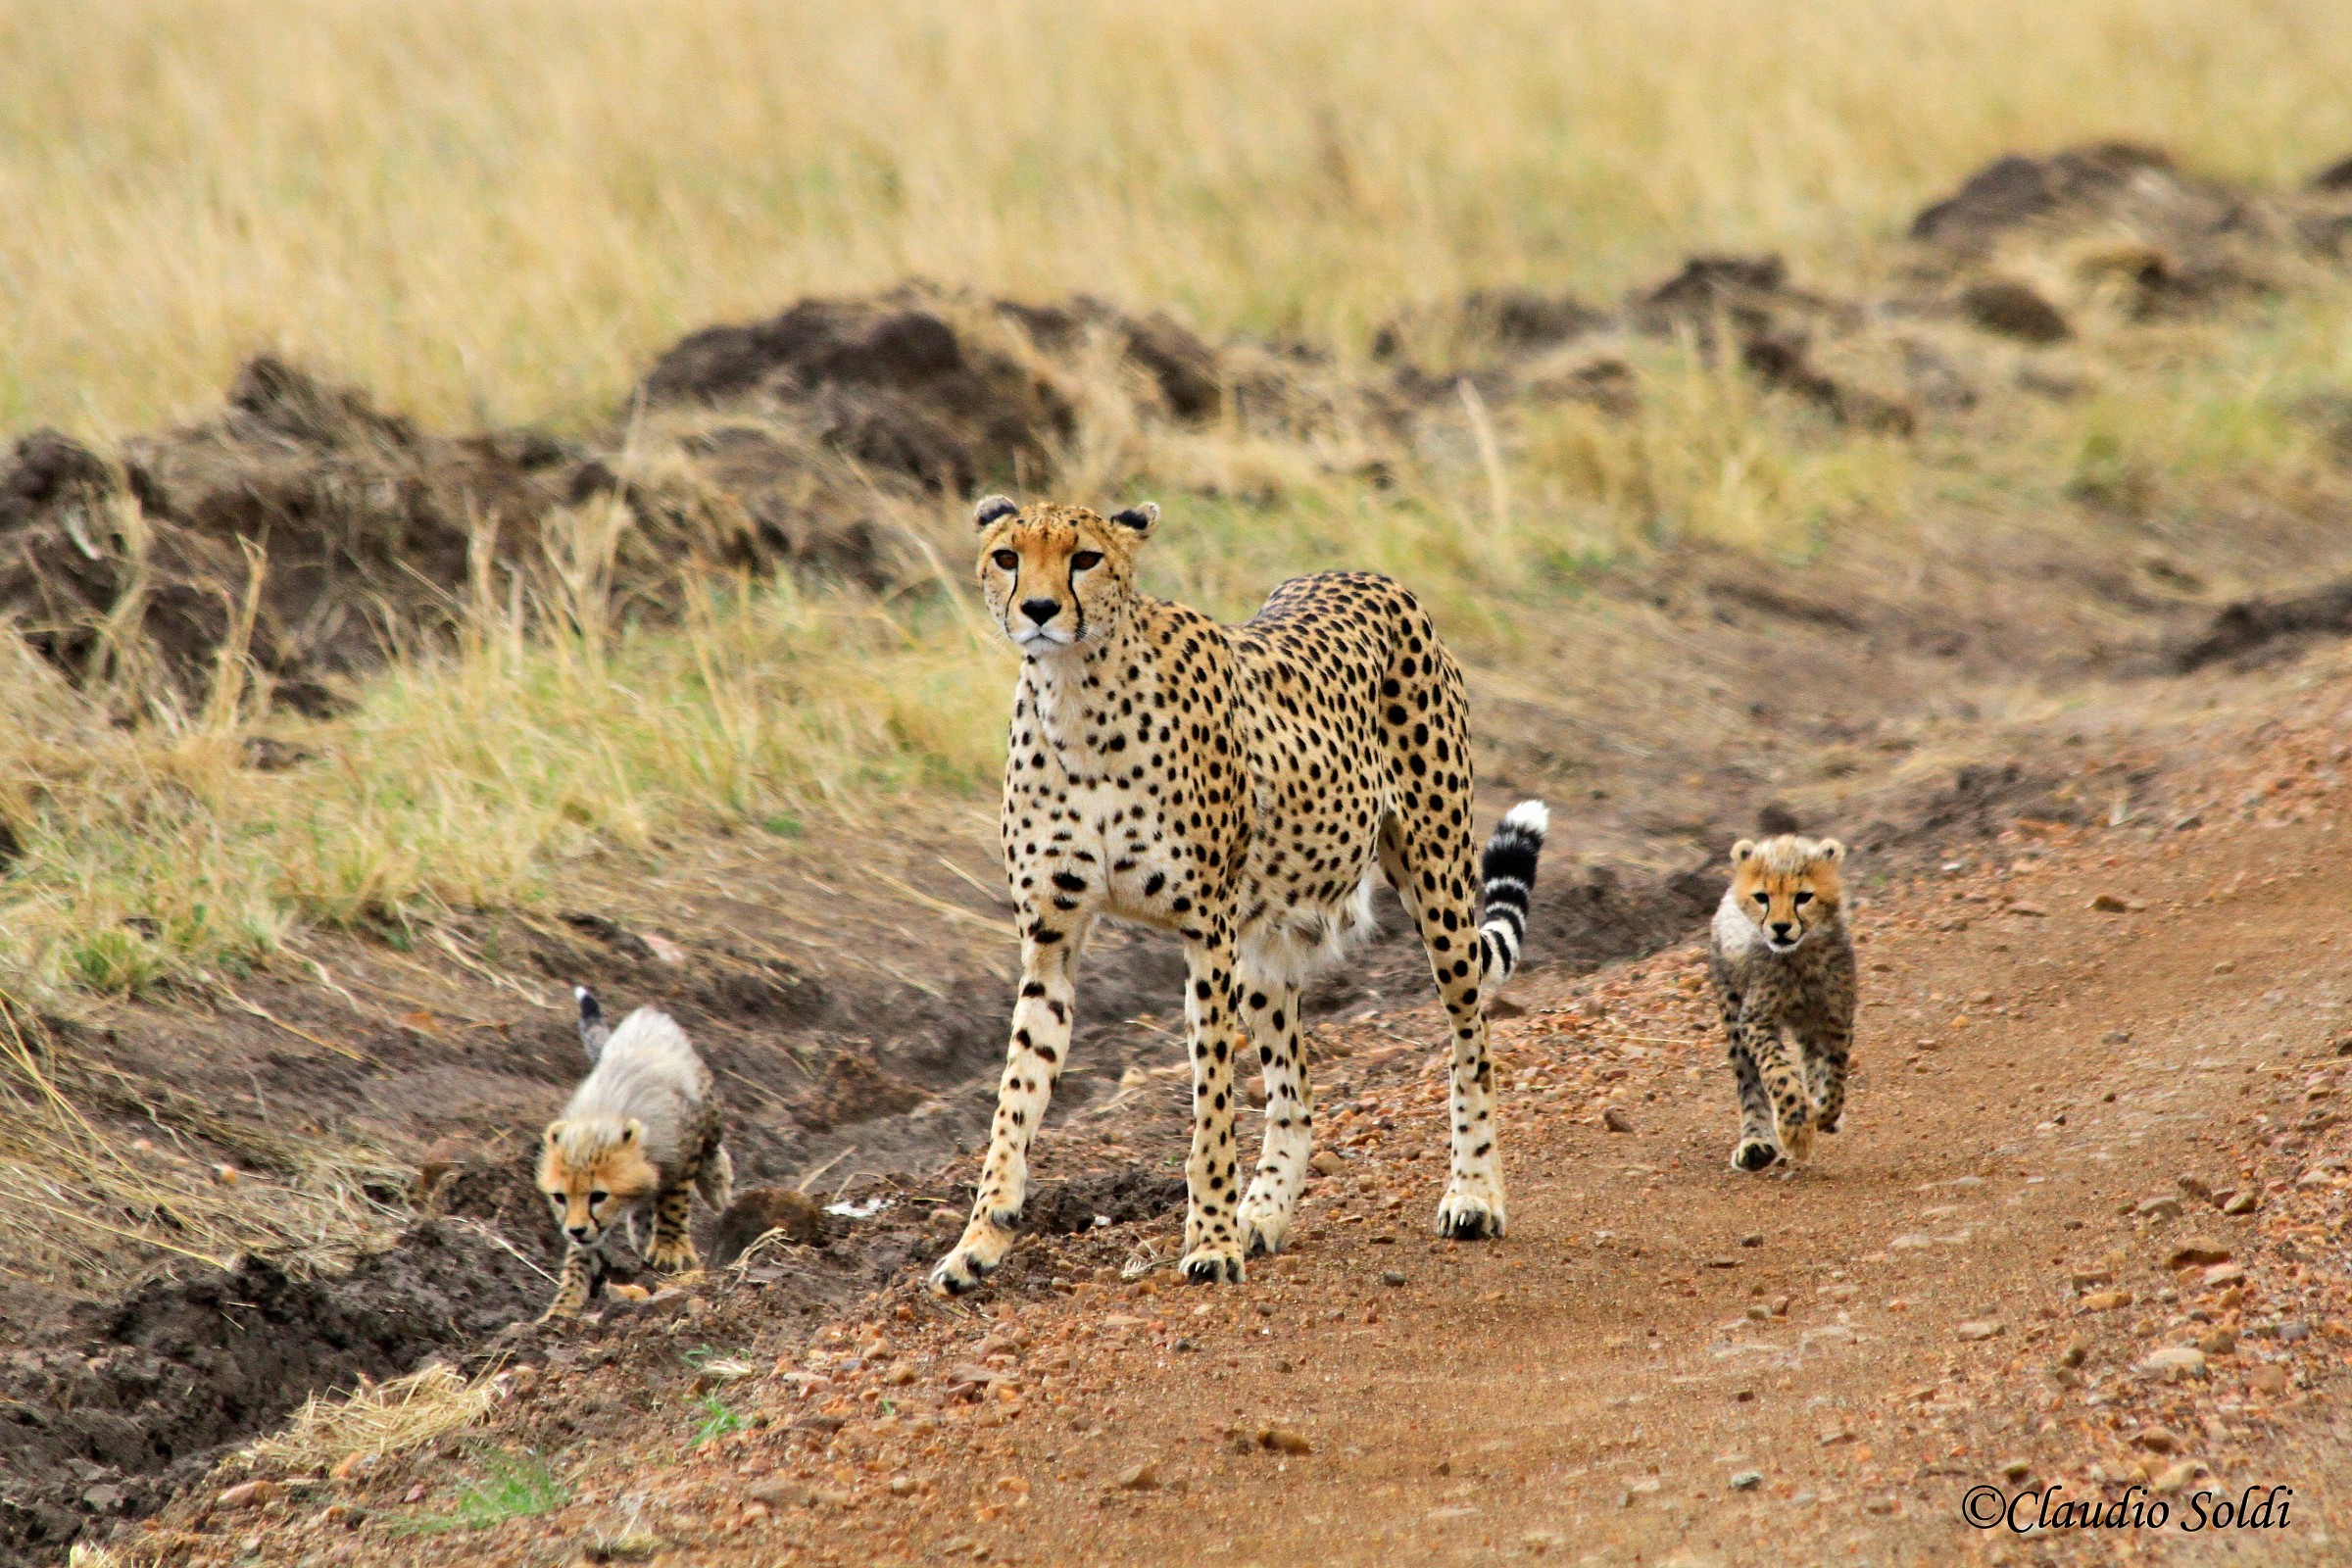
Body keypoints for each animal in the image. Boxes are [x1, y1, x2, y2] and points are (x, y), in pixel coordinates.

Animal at [537, 987, 733, 1319]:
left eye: (599, 1195)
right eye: (560, 1197)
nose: (575, 1230)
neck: (602, 1118)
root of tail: (646, 1015)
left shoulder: (681, 1151)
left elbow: (673, 1203)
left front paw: (670, 1248)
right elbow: (579, 1256)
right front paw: (564, 1304)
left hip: (708, 1110)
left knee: (713, 1148)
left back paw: (717, 1185)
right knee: (643, 1205)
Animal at [930, 494, 1550, 1295]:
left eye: (1084, 558)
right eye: (1007, 556)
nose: (1038, 609)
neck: (1076, 695)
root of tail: (1364, 573)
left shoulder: (1206, 935)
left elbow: (1211, 1109)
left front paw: (1212, 1240)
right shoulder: (1050, 944)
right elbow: (1014, 1100)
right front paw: (979, 1239)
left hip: (1436, 883)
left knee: (1470, 1041)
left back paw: (1473, 1194)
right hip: (1264, 947)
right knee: (1295, 1091)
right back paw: (1265, 1211)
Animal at [1706, 833, 1857, 1173]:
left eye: (1803, 897)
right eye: (1762, 897)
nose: (1779, 927)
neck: (1799, 957)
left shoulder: (1835, 1019)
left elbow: (1834, 1080)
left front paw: (1822, 1114)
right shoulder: (1756, 1020)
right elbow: (1779, 1074)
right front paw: (1795, 1129)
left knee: (1812, 1061)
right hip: (1733, 1013)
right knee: (1749, 1081)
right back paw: (1756, 1143)